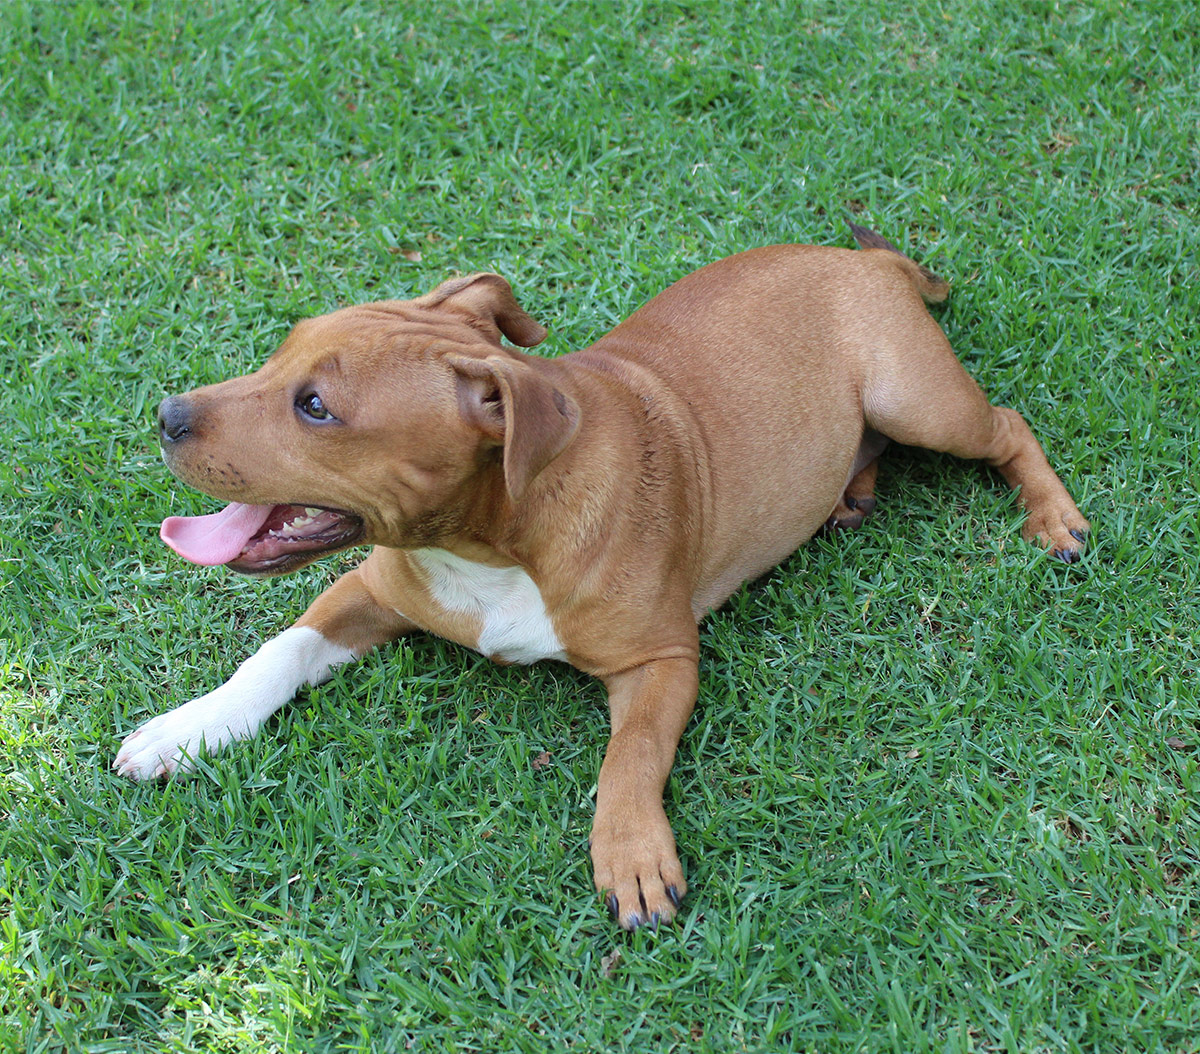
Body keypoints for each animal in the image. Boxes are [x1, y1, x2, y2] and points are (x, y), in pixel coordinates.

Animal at [114, 224, 1089, 931]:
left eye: (315, 407)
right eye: (280, 355)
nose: (167, 413)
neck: (491, 543)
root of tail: (864, 259)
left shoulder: (662, 660)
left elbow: (632, 756)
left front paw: (632, 855)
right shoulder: (369, 591)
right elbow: (275, 653)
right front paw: (187, 730)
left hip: (918, 398)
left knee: (1007, 423)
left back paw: (1055, 517)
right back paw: (852, 492)